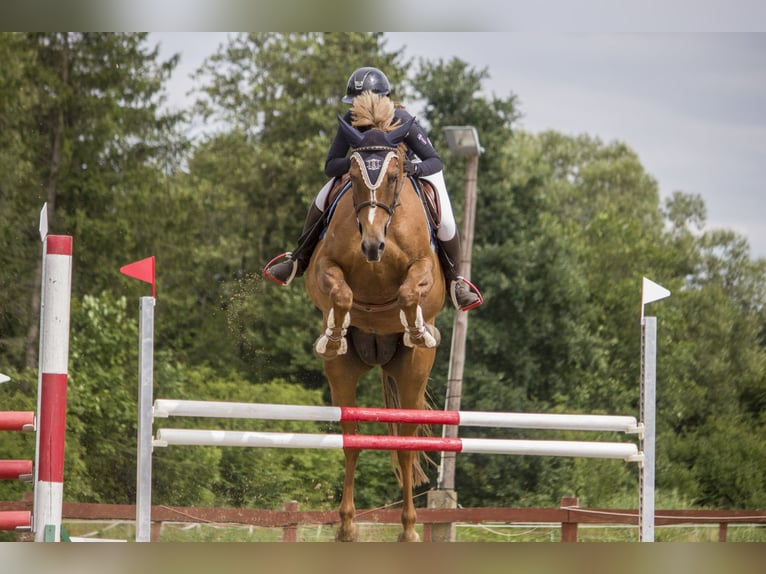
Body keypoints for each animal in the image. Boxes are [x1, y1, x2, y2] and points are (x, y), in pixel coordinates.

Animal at [302, 94, 444, 544]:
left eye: (396, 174)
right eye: (352, 173)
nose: (372, 245)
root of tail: (379, 357)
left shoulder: (424, 269)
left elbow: (410, 291)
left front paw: (416, 326)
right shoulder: (324, 267)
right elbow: (341, 291)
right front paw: (334, 331)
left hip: (413, 374)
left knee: (406, 445)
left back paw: (410, 529)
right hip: (343, 374)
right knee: (352, 441)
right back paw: (347, 526)